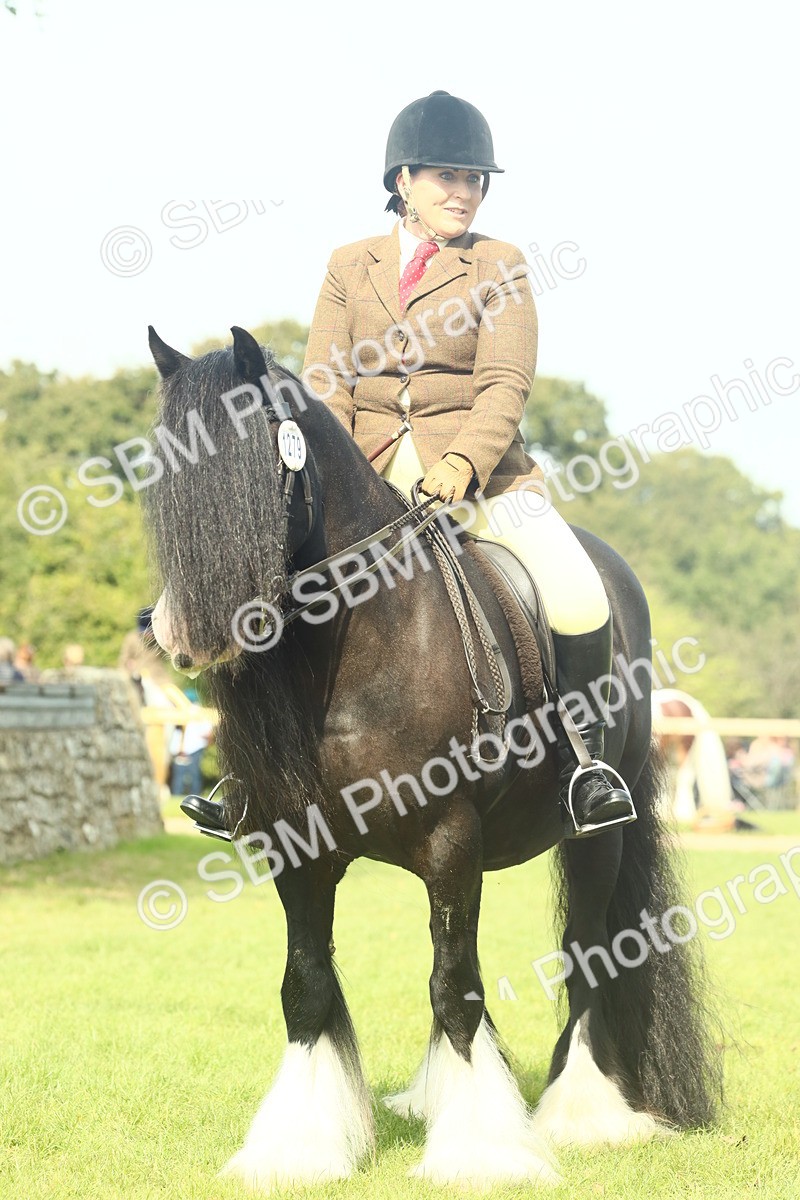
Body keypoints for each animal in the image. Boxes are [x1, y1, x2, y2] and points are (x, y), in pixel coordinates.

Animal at [143, 325, 722, 1190]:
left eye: (253, 464)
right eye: (160, 474)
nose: (186, 636)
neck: (359, 648)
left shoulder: (450, 838)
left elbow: (456, 988)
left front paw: (483, 1156)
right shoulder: (297, 848)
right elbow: (308, 987)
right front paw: (299, 1149)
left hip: (598, 835)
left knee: (588, 948)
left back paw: (584, 1112)